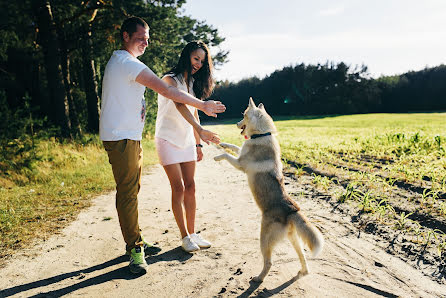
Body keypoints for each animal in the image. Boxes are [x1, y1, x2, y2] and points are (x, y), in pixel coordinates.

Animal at [213, 98, 324, 282]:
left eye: (244, 115)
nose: (236, 124)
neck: (262, 134)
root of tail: (292, 209)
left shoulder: (240, 164)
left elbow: (228, 155)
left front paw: (217, 156)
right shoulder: (241, 153)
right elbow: (234, 146)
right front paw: (221, 143)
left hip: (264, 239)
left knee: (269, 262)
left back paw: (258, 278)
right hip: (293, 239)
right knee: (303, 258)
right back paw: (302, 272)